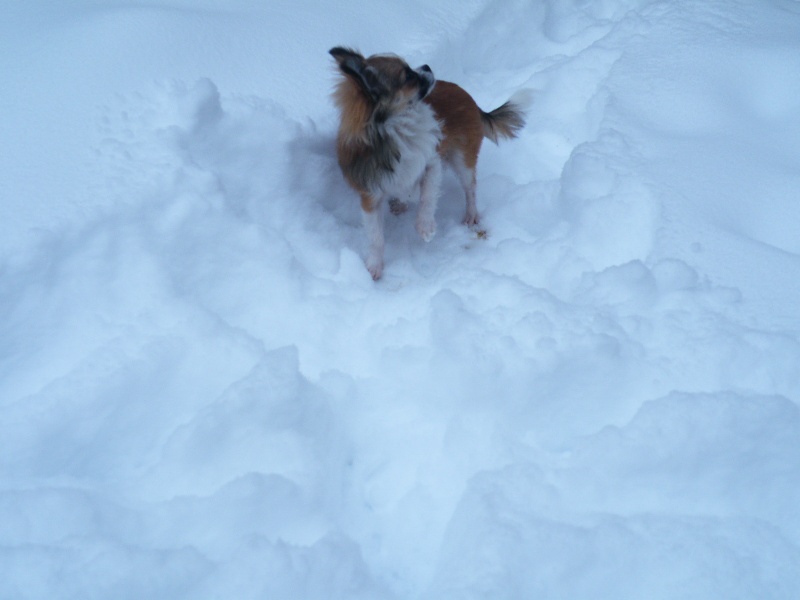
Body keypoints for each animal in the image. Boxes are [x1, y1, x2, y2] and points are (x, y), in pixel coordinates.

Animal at [328, 47, 528, 282]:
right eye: (407, 76)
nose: (426, 66)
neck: (398, 129)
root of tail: (467, 96)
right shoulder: (371, 194)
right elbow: (376, 237)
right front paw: (374, 266)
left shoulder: (432, 162)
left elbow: (427, 196)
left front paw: (425, 226)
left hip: (462, 159)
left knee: (470, 188)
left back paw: (470, 214)